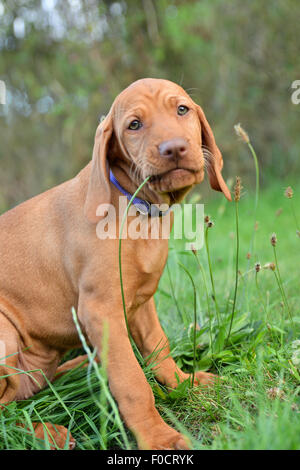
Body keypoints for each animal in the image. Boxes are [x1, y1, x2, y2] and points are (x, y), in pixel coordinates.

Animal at [0, 79, 230, 450]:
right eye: (133, 125)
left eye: (182, 109)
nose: (174, 148)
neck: (138, 209)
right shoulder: (101, 311)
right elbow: (132, 382)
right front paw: (158, 437)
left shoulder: (140, 304)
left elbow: (158, 348)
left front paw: (183, 382)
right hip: (4, 333)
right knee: (5, 412)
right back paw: (47, 432)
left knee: (27, 392)